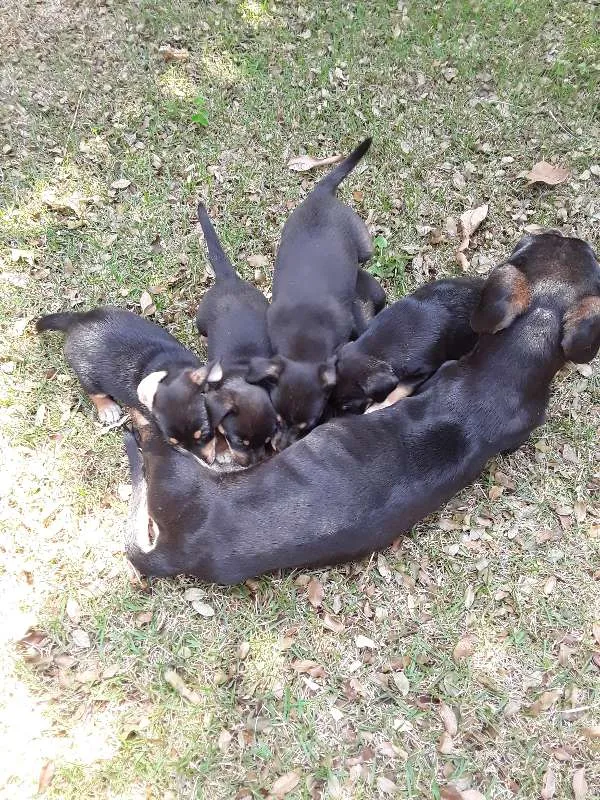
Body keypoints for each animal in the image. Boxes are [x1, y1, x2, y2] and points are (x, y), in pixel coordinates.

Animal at [34, 306, 213, 460]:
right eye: (176, 446)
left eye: (204, 434)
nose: (208, 463)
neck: (169, 370)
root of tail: (76, 321)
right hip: (87, 376)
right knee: (94, 392)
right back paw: (108, 409)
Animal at [246, 138, 372, 450]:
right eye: (278, 417)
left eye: (308, 426)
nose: (279, 447)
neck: (304, 341)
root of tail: (321, 193)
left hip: (365, 245)